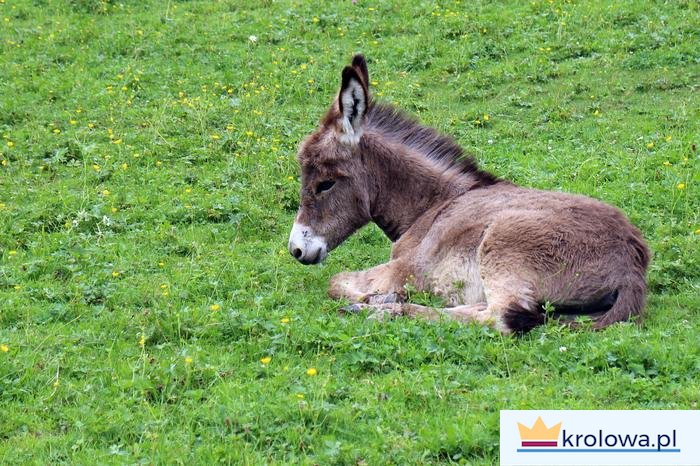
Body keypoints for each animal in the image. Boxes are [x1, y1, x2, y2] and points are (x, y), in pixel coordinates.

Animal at [288, 54, 648, 334]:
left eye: (325, 184)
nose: (296, 249)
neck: (432, 205)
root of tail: (632, 264)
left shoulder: (407, 266)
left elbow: (336, 282)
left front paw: (375, 299)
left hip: (502, 250)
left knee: (500, 318)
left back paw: (384, 309)